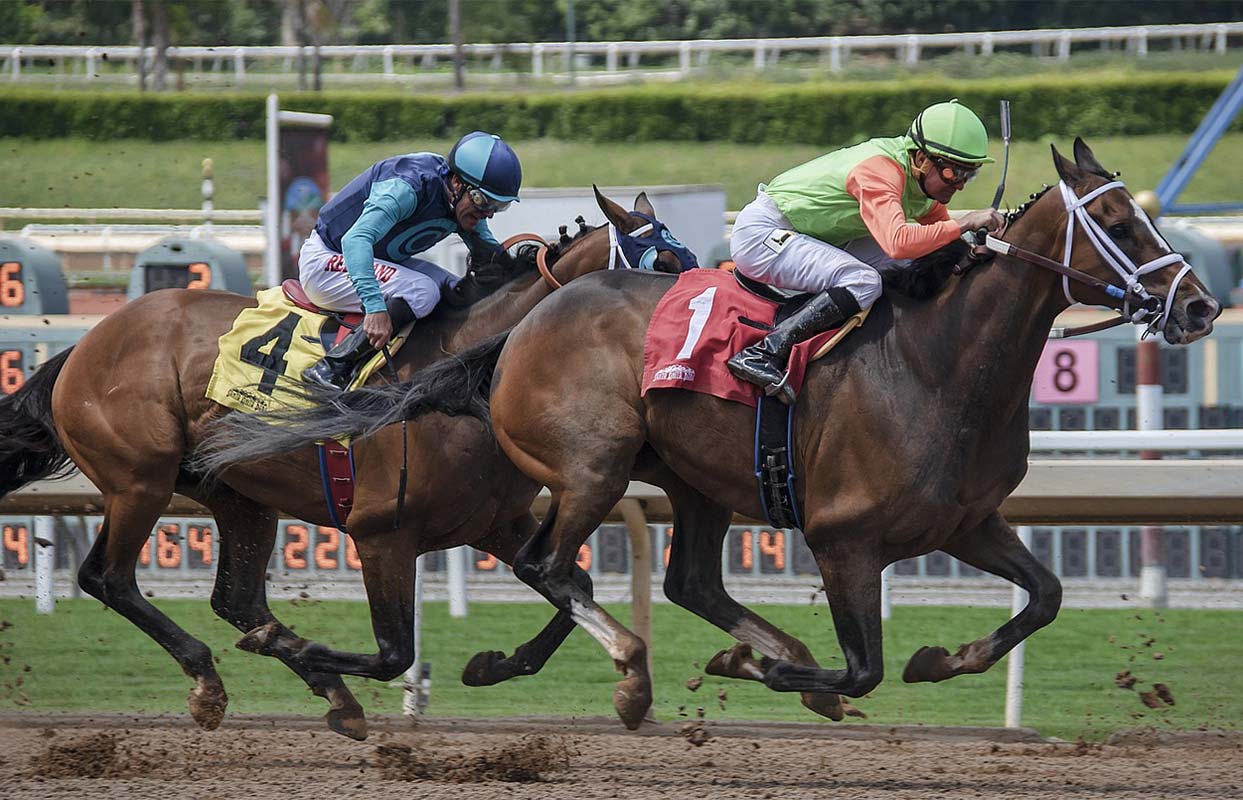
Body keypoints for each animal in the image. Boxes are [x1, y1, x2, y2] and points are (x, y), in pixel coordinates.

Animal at [0, 188, 691, 739]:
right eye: (662, 263)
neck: (459, 378)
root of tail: (86, 344)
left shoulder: (493, 521)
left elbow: (571, 583)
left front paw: (496, 665)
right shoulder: (382, 534)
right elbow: (394, 653)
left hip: (240, 496)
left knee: (237, 600)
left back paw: (320, 686)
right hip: (138, 479)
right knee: (109, 579)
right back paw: (211, 680)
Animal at [260, 139, 1220, 729]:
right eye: (1122, 224)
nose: (1200, 307)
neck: (937, 366)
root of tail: (526, 323)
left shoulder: (968, 522)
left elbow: (1044, 597)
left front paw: (940, 659)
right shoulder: (843, 539)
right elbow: (861, 668)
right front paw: (763, 671)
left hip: (692, 483)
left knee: (672, 579)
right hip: (593, 467)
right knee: (547, 563)